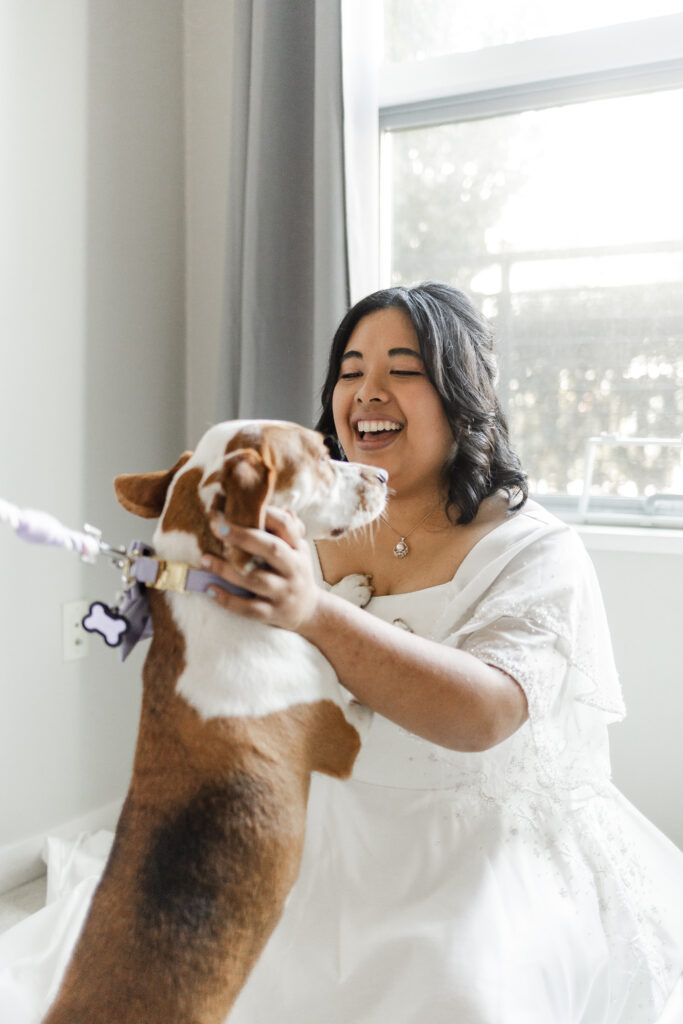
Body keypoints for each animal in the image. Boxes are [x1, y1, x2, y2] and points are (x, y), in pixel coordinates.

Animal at [42, 417, 387, 1024]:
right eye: (320, 454)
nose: (386, 477)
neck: (207, 589)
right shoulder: (345, 737)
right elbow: (356, 690)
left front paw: (346, 590)